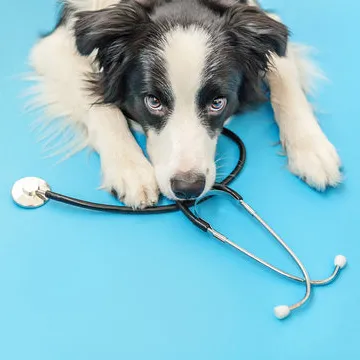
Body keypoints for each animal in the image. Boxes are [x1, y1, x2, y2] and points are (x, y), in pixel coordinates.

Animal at [29, 0, 342, 208]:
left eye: (218, 103)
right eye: (153, 101)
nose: (188, 189)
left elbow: (285, 80)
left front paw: (311, 149)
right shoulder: (54, 46)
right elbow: (98, 103)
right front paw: (130, 168)